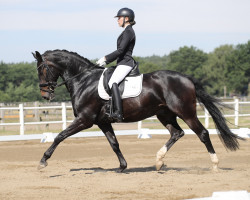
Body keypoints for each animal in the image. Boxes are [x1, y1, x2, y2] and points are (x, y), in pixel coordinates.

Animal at [32, 49, 243, 172]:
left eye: (42, 68)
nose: (45, 94)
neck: (84, 80)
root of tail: (186, 78)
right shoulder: (102, 122)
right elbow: (114, 143)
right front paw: (122, 166)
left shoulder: (85, 120)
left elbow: (59, 136)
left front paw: (43, 161)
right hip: (164, 114)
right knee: (177, 133)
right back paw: (158, 161)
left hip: (186, 112)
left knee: (203, 133)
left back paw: (214, 164)